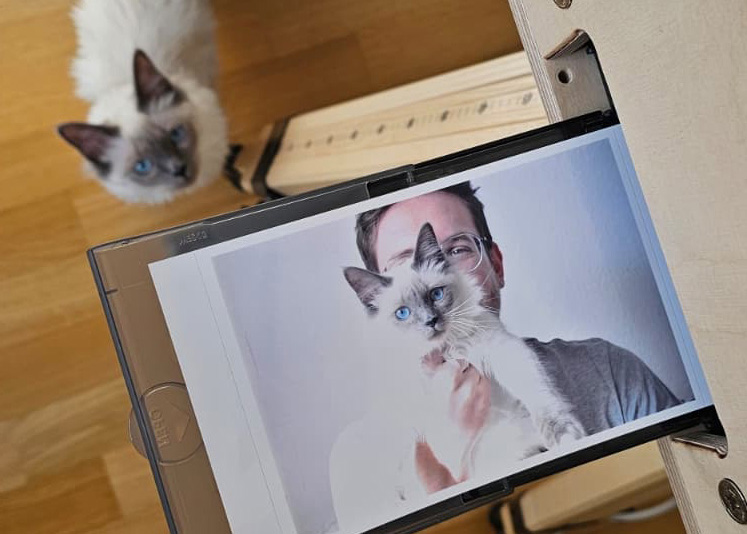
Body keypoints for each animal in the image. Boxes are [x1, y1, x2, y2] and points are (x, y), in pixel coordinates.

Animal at [343, 222, 587, 451]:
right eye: (402, 313)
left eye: (436, 294)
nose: (431, 321)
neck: (449, 350)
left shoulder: (504, 350)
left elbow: (542, 400)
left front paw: (566, 439)